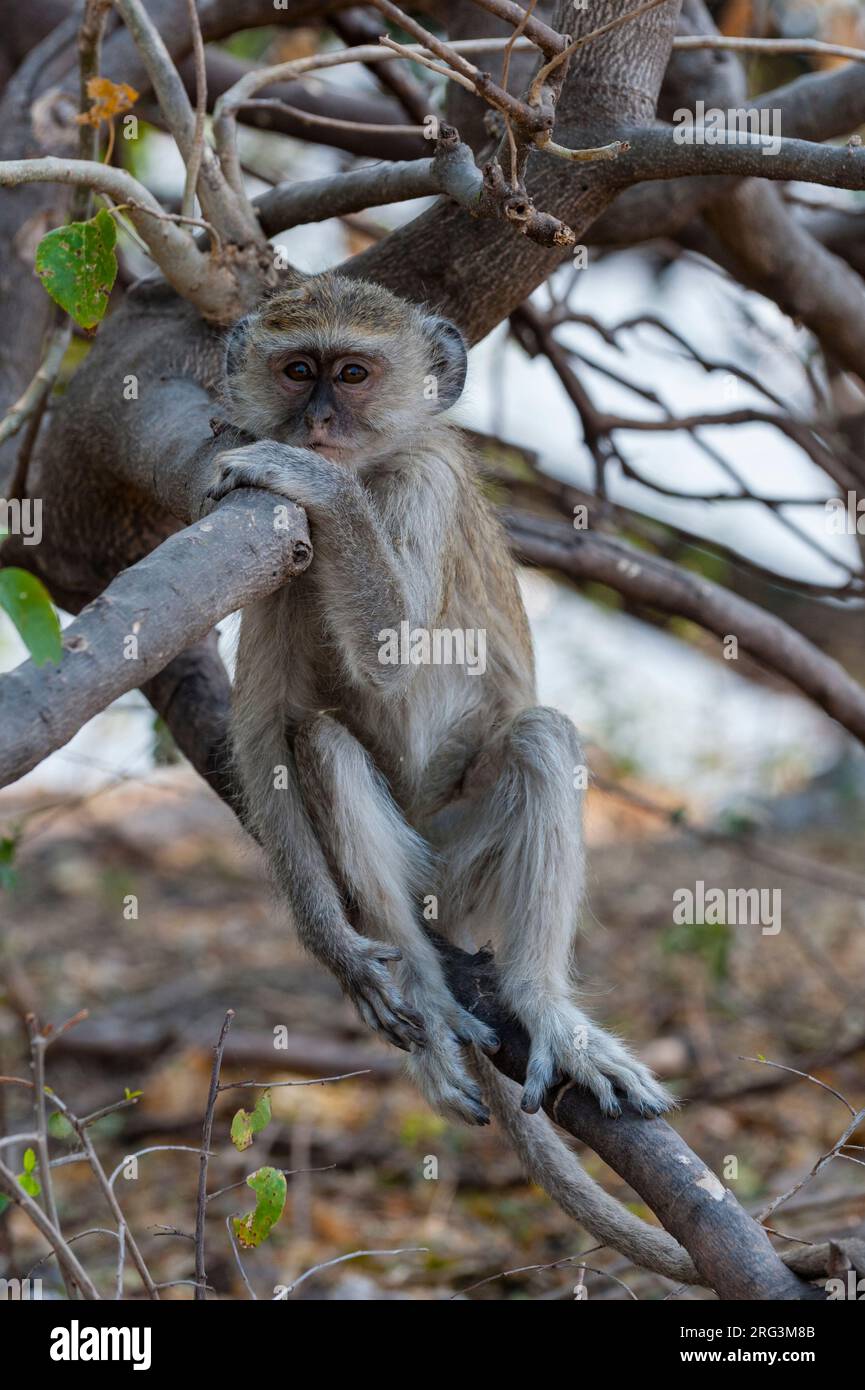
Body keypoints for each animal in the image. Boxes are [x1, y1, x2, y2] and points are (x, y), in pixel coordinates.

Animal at [200, 269, 675, 1140]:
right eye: (297, 371)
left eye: (352, 374)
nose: (317, 423)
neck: (375, 467)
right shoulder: (272, 546)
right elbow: (259, 740)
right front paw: (340, 952)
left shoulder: (424, 482)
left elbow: (394, 657)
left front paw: (314, 476)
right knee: (320, 742)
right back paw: (422, 987)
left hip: (459, 866)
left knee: (540, 738)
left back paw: (543, 1008)